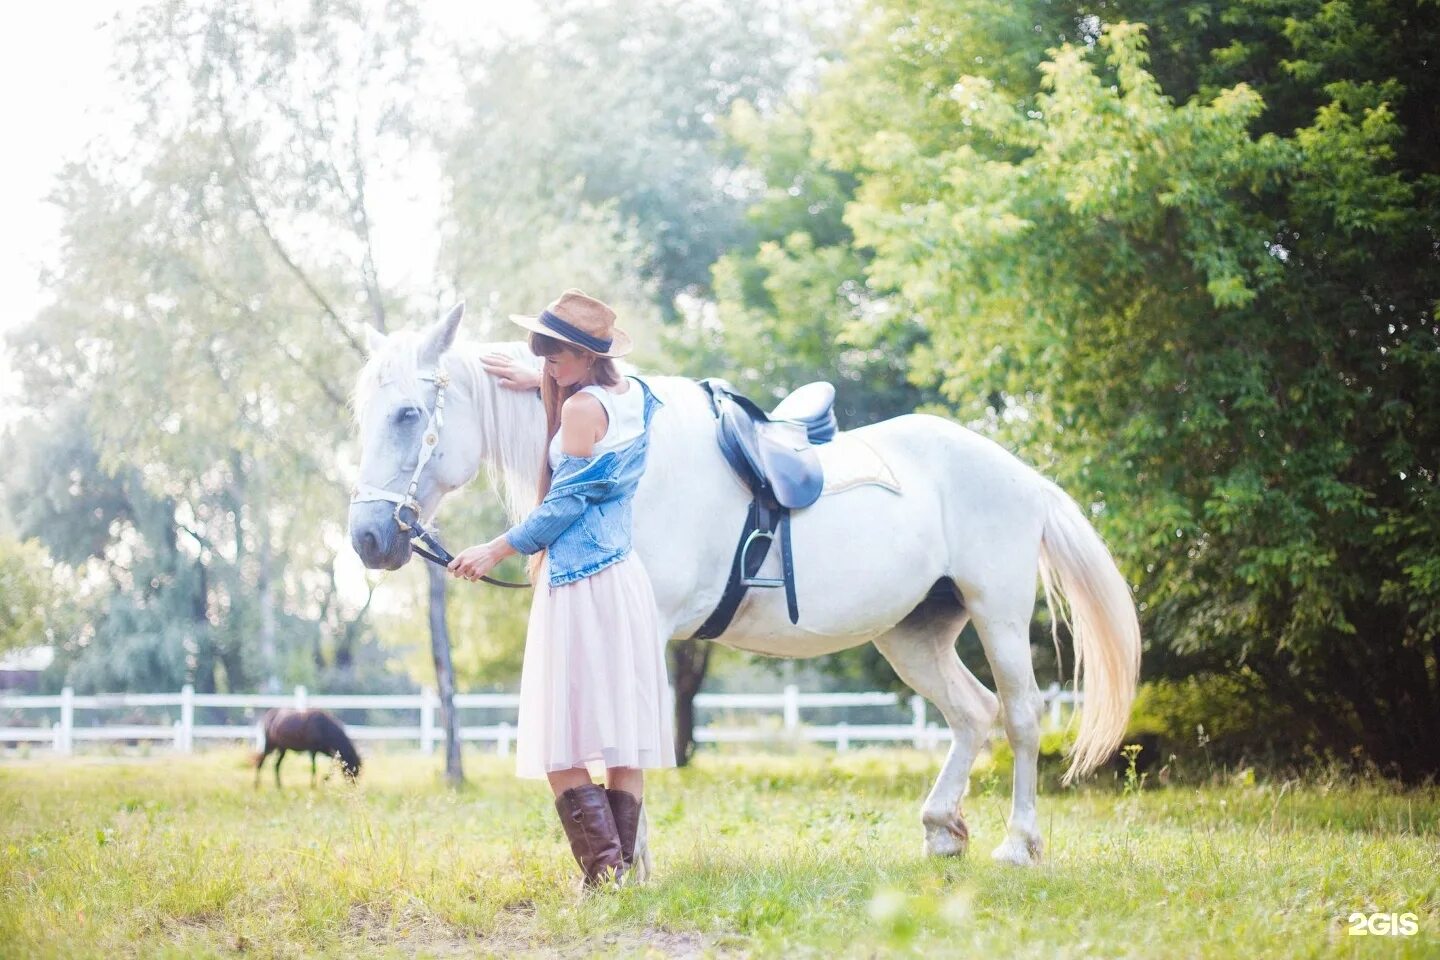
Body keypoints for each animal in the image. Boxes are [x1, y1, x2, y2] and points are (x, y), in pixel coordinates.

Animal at [345, 303, 1134, 869]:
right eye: (362, 414)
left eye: (409, 414)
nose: (367, 539)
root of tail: (1018, 470)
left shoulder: (649, 629)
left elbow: (632, 739)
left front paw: (635, 864)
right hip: (913, 633)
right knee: (972, 714)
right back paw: (942, 831)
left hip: (997, 612)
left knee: (1022, 716)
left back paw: (1018, 845)